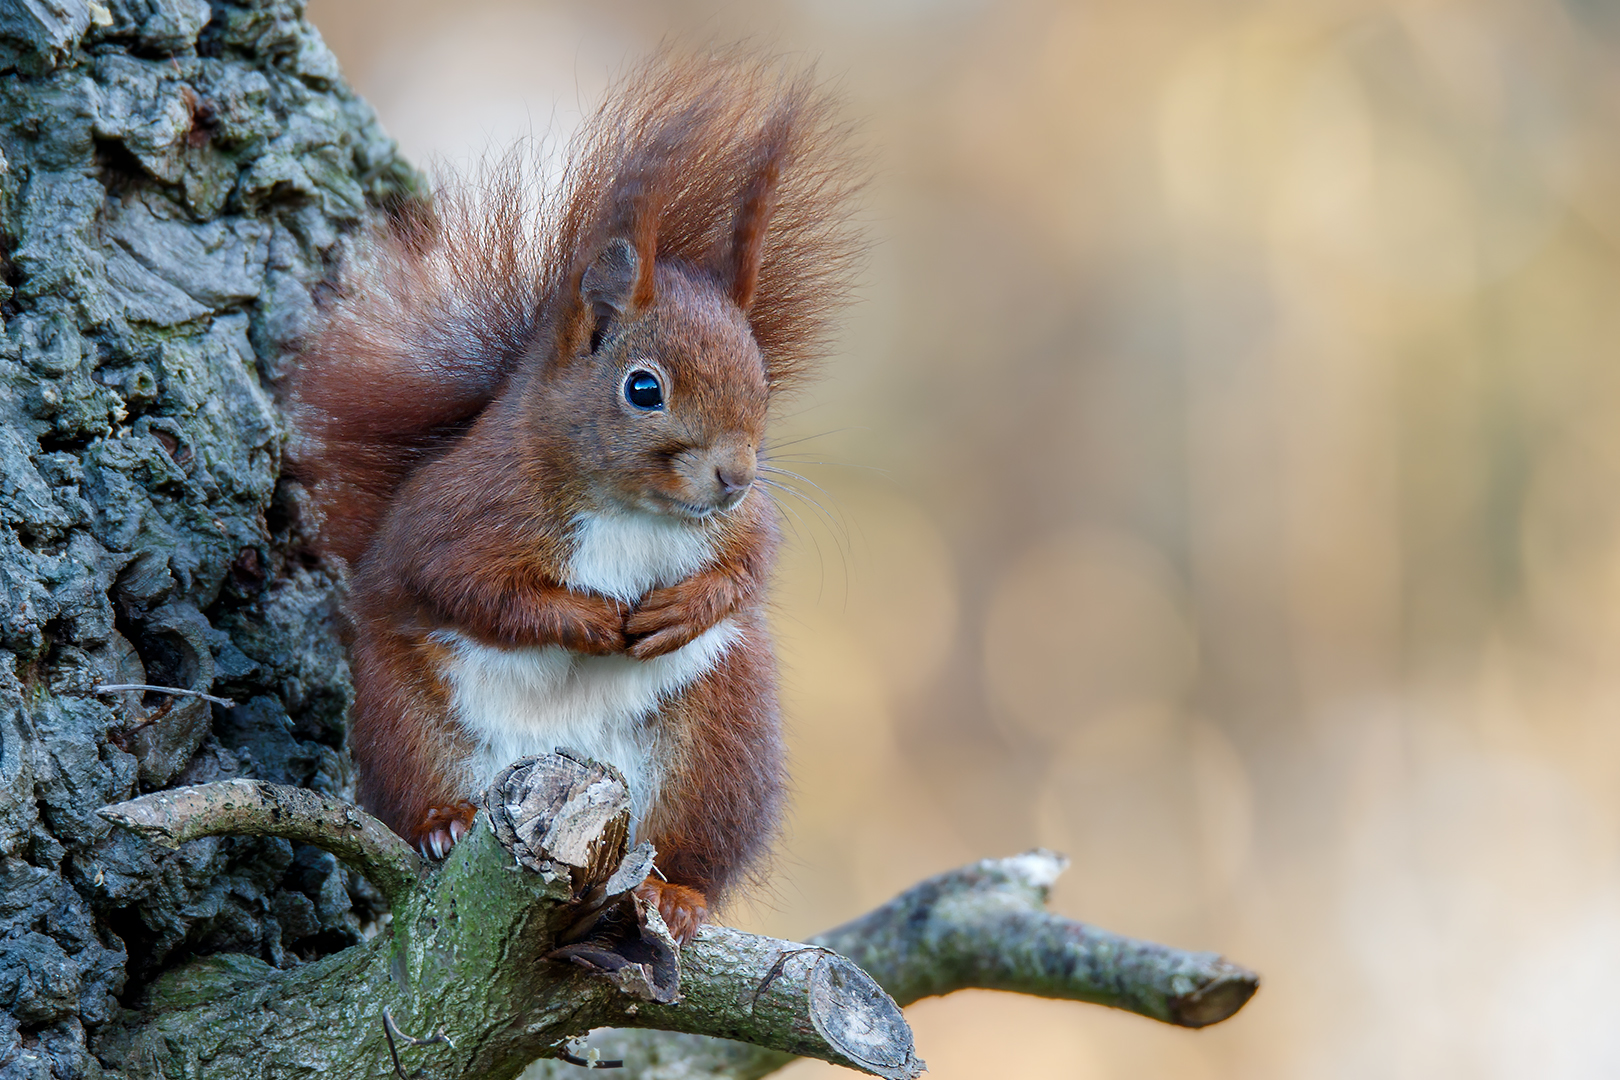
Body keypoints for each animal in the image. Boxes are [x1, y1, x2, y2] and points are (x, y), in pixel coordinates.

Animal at [288, 55, 861, 939]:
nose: (734, 477)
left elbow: (747, 573)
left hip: (717, 753)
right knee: (418, 789)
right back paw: (444, 823)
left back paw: (677, 894)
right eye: (643, 388)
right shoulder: (461, 514)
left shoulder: (744, 529)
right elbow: (469, 588)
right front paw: (585, 620)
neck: (633, 510)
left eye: (761, 382)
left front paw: (682, 609)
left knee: (695, 854)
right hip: (404, 723)